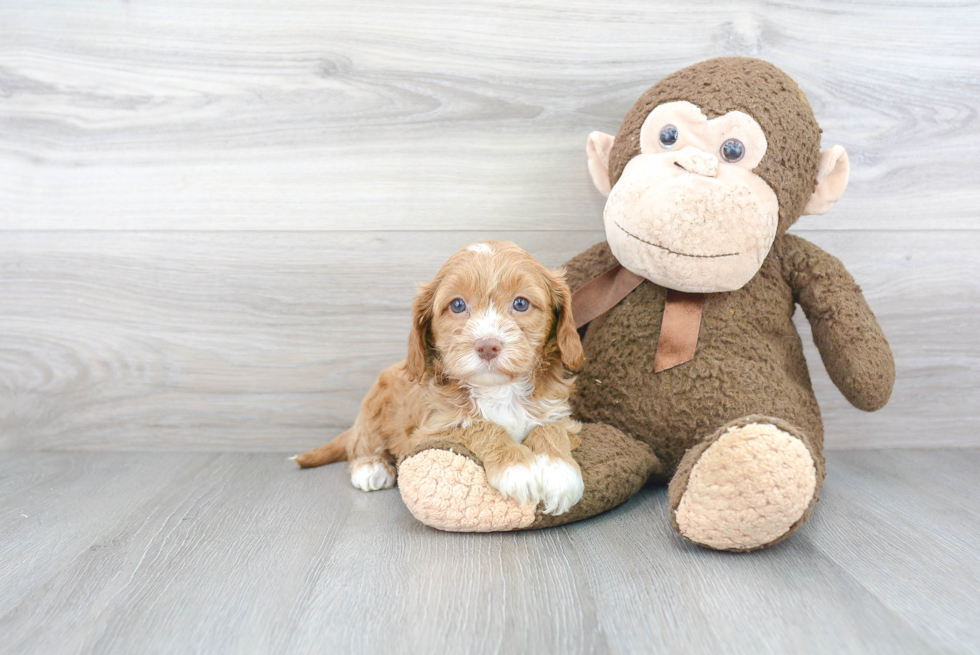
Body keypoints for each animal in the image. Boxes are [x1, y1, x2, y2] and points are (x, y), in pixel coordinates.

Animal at [294, 241, 584, 516]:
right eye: (457, 305)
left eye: (521, 303)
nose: (487, 346)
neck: (498, 389)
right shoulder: (431, 430)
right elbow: (480, 426)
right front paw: (516, 467)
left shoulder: (558, 413)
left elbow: (550, 428)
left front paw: (559, 472)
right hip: (373, 408)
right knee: (362, 444)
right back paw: (370, 467)